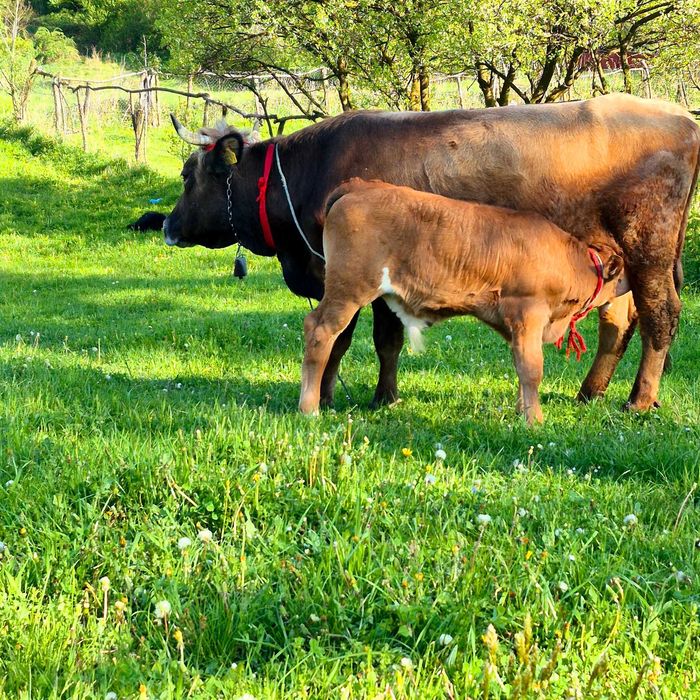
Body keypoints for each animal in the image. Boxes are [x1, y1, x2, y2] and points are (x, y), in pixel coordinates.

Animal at [298, 179, 628, 423]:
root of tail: (360, 185)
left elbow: (520, 365)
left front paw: (521, 412)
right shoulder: (528, 313)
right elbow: (532, 369)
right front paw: (535, 421)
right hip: (349, 289)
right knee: (320, 331)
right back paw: (309, 408)